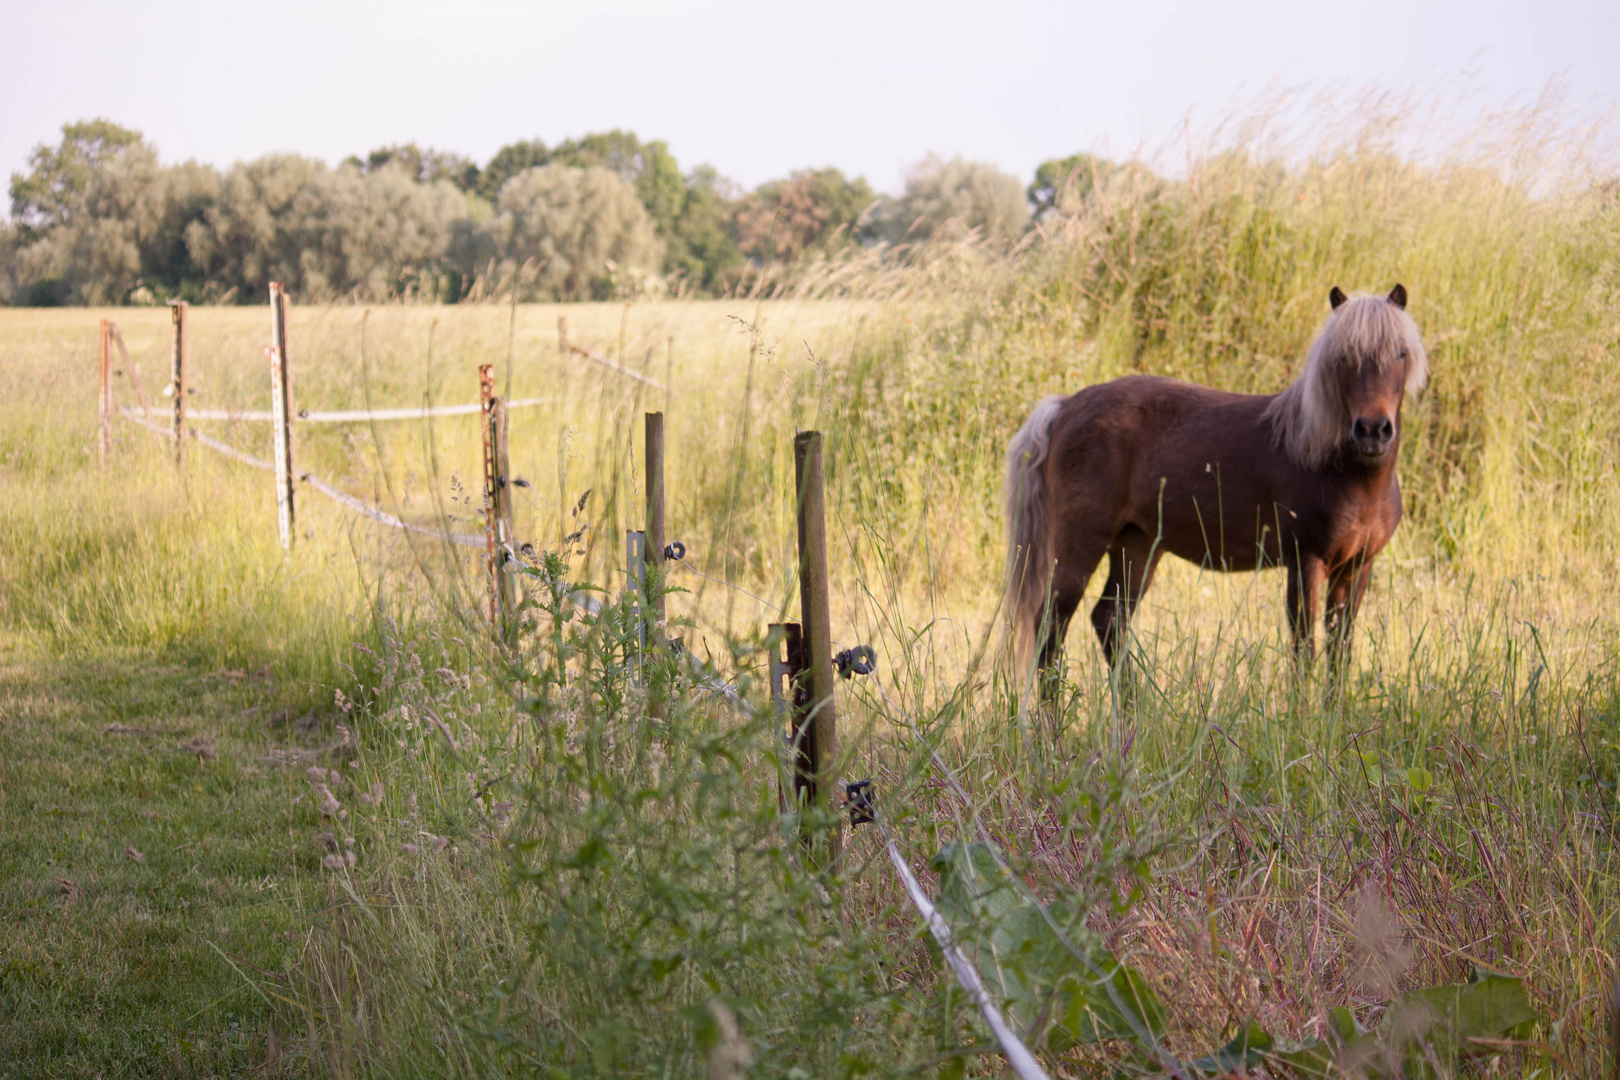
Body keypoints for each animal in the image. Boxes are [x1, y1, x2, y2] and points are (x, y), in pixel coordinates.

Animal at [1004, 283, 1425, 680]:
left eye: (1401, 354)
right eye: (1343, 358)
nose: (1373, 431)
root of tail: (1065, 406)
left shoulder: (1355, 569)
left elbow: (1341, 655)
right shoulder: (1306, 562)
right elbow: (1304, 651)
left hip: (1138, 545)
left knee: (1109, 621)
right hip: (1081, 544)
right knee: (1051, 625)